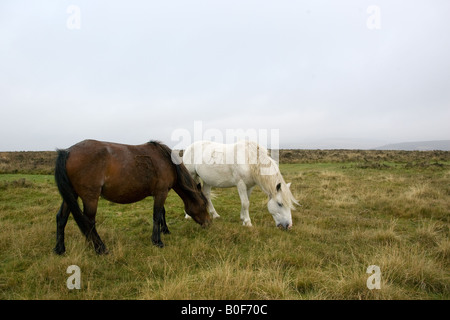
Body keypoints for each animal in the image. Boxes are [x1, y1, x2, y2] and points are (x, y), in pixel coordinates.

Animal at [53, 139, 212, 254]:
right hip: (90, 197)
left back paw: (60, 249)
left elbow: (161, 213)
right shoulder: (161, 192)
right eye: (204, 204)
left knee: (61, 218)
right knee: (89, 222)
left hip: (71, 196)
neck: (167, 161)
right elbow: (156, 215)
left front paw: (165, 231)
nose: (208, 223)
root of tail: (67, 152)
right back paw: (100, 249)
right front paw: (157, 241)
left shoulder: (158, 193)